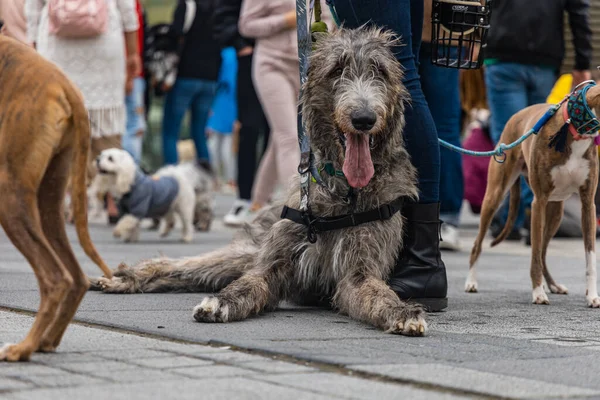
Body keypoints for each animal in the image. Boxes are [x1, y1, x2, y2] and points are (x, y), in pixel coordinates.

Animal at [0, 34, 112, 360]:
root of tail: (64, 84)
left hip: (10, 194)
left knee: (55, 277)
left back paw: (23, 348)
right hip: (48, 200)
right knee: (76, 277)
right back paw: (44, 341)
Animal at [90, 26, 426, 336]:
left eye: (380, 72)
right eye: (337, 70)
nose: (364, 118)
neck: (344, 194)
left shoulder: (360, 271)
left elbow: (378, 292)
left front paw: (402, 311)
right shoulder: (272, 263)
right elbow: (249, 282)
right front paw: (221, 301)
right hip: (246, 251)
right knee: (179, 266)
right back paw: (126, 277)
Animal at [468, 80, 600, 306]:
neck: (574, 129)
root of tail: (517, 115)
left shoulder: (587, 204)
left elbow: (589, 256)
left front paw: (592, 296)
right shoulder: (538, 202)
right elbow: (535, 253)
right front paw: (538, 293)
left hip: (556, 212)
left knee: (545, 252)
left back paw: (554, 285)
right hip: (494, 196)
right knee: (478, 243)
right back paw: (471, 282)